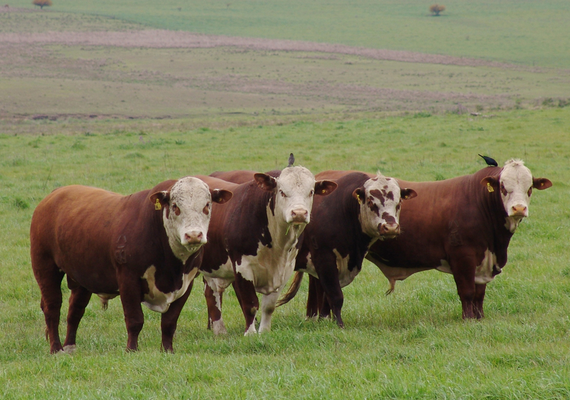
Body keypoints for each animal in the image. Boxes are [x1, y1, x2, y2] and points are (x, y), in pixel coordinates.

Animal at [28, 176, 233, 354]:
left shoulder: (186, 283)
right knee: (52, 307)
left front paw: (167, 350)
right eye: (175, 206)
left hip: (82, 277)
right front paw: (131, 350)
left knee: (75, 311)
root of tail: (54, 194)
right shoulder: (128, 279)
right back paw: (56, 349)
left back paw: (70, 347)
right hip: (45, 267)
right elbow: (135, 320)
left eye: (207, 205)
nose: (194, 235)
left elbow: (169, 322)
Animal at [196, 164, 338, 336]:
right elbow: (250, 304)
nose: (299, 213)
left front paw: (264, 332)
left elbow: (268, 306)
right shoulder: (242, 268)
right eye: (282, 191)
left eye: (311, 191)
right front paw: (250, 334)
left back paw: (220, 331)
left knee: (212, 293)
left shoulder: (284, 270)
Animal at [276, 170, 414, 326]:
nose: (390, 227)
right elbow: (335, 295)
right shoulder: (324, 259)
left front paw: (326, 320)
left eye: (399, 202)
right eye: (371, 201)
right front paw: (339, 324)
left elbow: (327, 296)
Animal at [364, 159, 552, 318]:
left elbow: (479, 293)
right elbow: (467, 291)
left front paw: (479, 317)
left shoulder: (483, 259)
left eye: (530, 188)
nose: (518, 208)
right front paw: (468, 319)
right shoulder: (463, 256)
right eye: (503, 187)